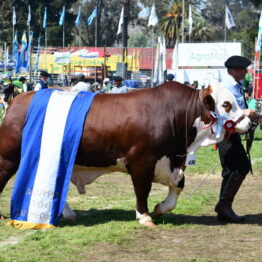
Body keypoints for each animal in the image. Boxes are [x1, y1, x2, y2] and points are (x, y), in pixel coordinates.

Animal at [0, 82, 251, 227]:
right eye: (226, 105)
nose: (251, 120)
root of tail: (18, 99)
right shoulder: (142, 161)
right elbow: (142, 189)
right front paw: (145, 216)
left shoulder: (172, 161)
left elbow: (178, 187)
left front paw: (160, 208)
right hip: (9, 157)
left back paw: (66, 213)